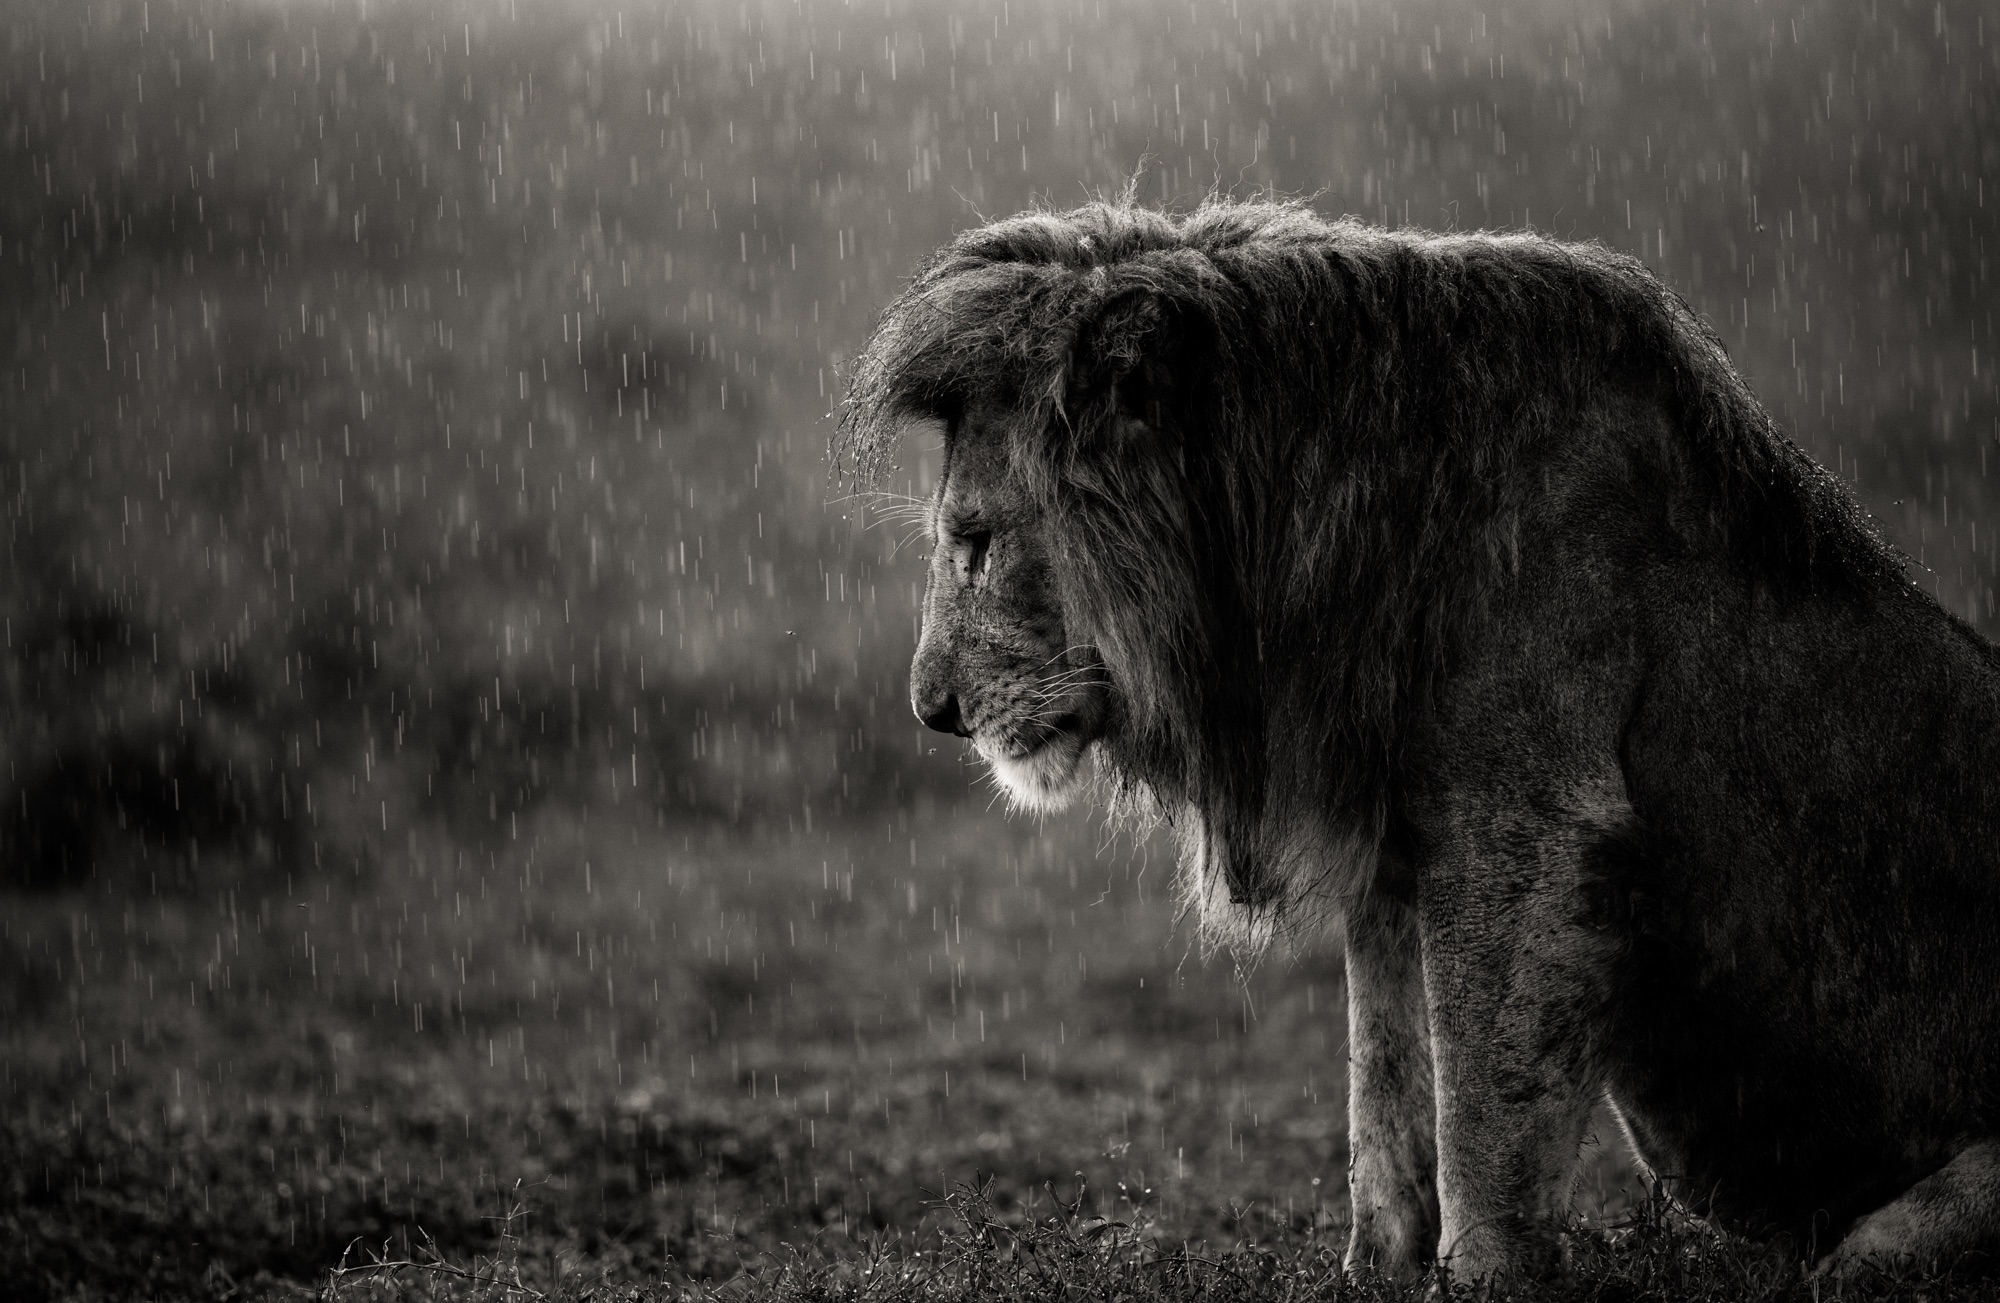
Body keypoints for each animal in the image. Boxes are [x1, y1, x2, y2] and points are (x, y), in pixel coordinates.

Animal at [836, 198, 2000, 1287]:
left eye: (975, 542)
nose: (930, 710)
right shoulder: (1392, 838)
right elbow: (1384, 1087)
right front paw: (1370, 1271)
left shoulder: (1527, 831)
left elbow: (1480, 1110)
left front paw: (1479, 1276)